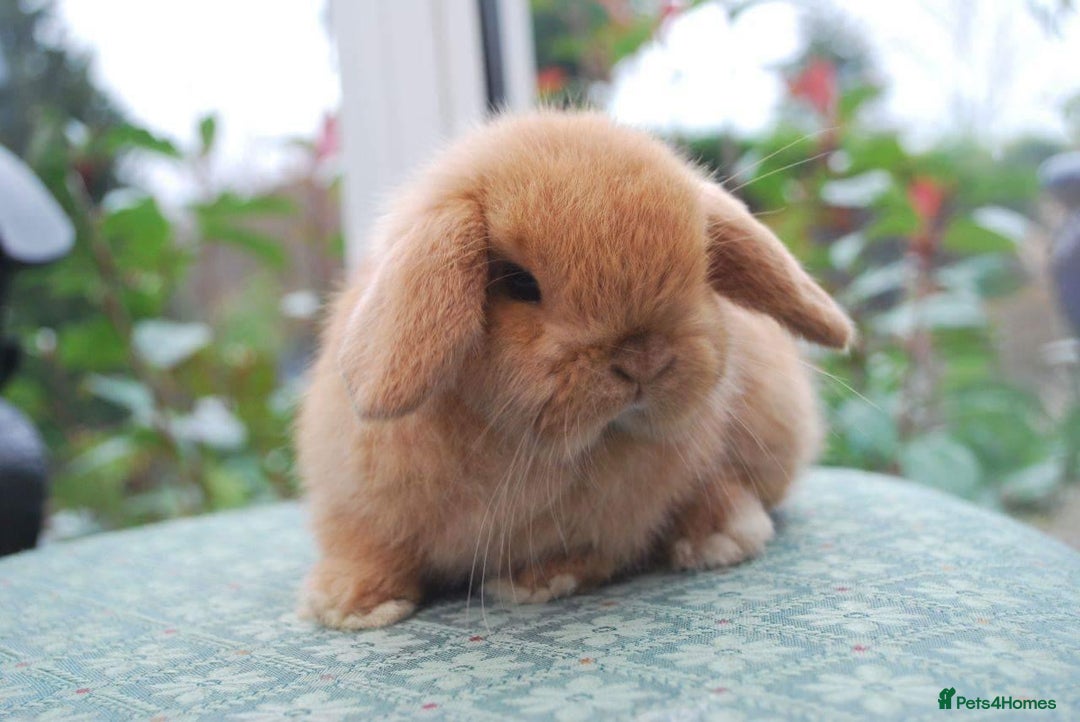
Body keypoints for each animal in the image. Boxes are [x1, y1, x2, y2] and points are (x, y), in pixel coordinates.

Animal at [296, 111, 854, 629]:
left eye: (703, 270)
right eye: (519, 283)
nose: (642, 361)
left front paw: (538, 581)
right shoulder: (356, 503)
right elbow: (367, 546)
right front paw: (349, 606)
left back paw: (720, 538)